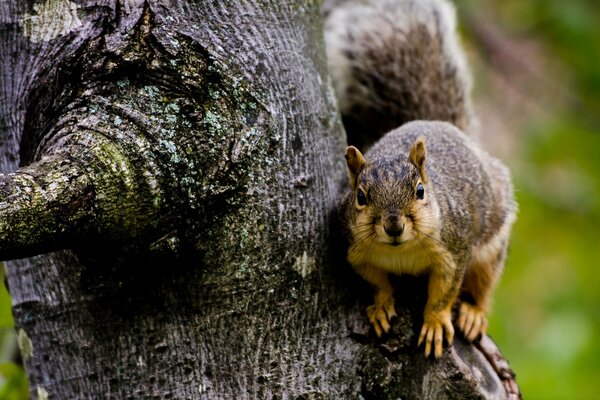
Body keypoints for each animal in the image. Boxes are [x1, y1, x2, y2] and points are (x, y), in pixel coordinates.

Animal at [326, 0, 516, 358]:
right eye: (360, 196)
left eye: (420, 191)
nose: (393, 226)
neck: (400, 251)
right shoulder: (355, 252)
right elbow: (376, 282)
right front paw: (382, 305)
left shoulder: (454, 250)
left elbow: (444, 292)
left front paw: (435, 322)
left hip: (492, 242)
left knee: (484, 281)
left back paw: (474, 312)